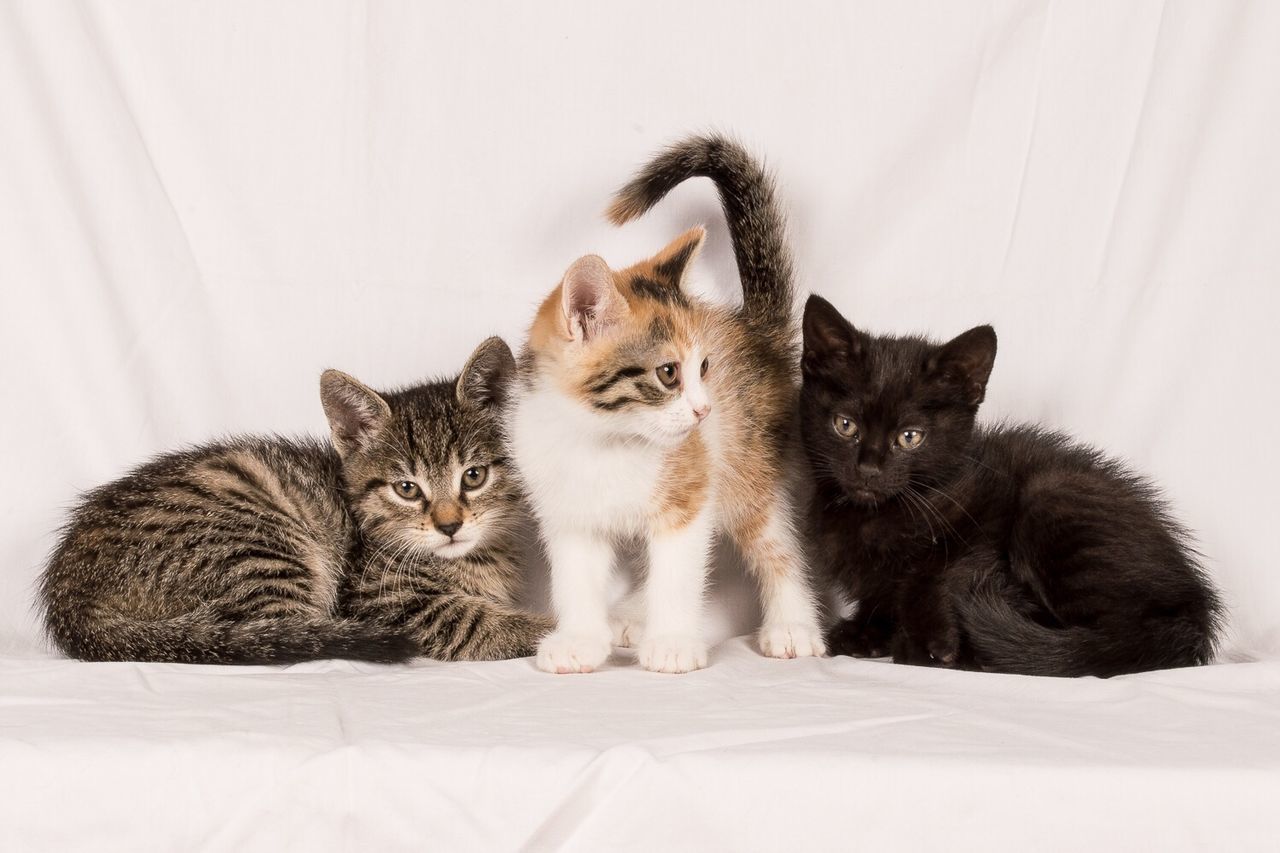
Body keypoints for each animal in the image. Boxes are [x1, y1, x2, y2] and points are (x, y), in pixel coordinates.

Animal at [38, 335, 550, 660]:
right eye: (406, 489)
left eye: (474, 476)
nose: (450, 525)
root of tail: (69, 597)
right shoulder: (381, 600)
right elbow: (475, 621)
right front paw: (557, 631)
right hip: (256, 543)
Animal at [512, 136, 829, 676]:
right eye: (667, 373)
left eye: (704, 368)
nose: (703, 412)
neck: (602, 438)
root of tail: (756, 330)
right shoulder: (569, 512)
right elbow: (576, 577)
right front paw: (580, 641)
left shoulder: (689, 495)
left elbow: (679, 572)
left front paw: (673, 643)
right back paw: (632, 616)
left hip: (751, 466)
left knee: (776, 544)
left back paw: (793, 626)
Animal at [793, 295, 1223, 676]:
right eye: (845, 425)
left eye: (910, 437)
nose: (868, 469)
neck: (880, 515)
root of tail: (1194, 611)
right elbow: (883, 594)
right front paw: (863, 632)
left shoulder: (986, 518)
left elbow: (936, 572)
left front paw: (930, 643)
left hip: (1051, 496)